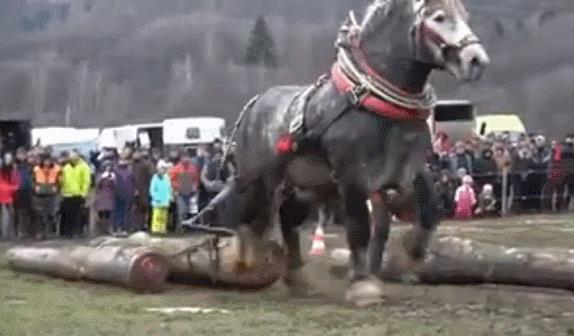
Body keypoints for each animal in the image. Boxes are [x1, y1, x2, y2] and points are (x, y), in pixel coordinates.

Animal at [220, 0, 490, 306]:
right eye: (439, 17)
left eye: (465, 15)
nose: (476, 60)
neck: (373, 98)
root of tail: (254, 104)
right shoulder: (352, 174)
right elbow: (360, 226)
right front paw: (362, 285)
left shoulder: (409, 168)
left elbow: (429, 210)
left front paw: (412, 251)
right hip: (259, 178)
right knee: (247, 218)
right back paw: (247, 262)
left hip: (312, 185)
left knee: (287, 218)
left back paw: (296, 279)